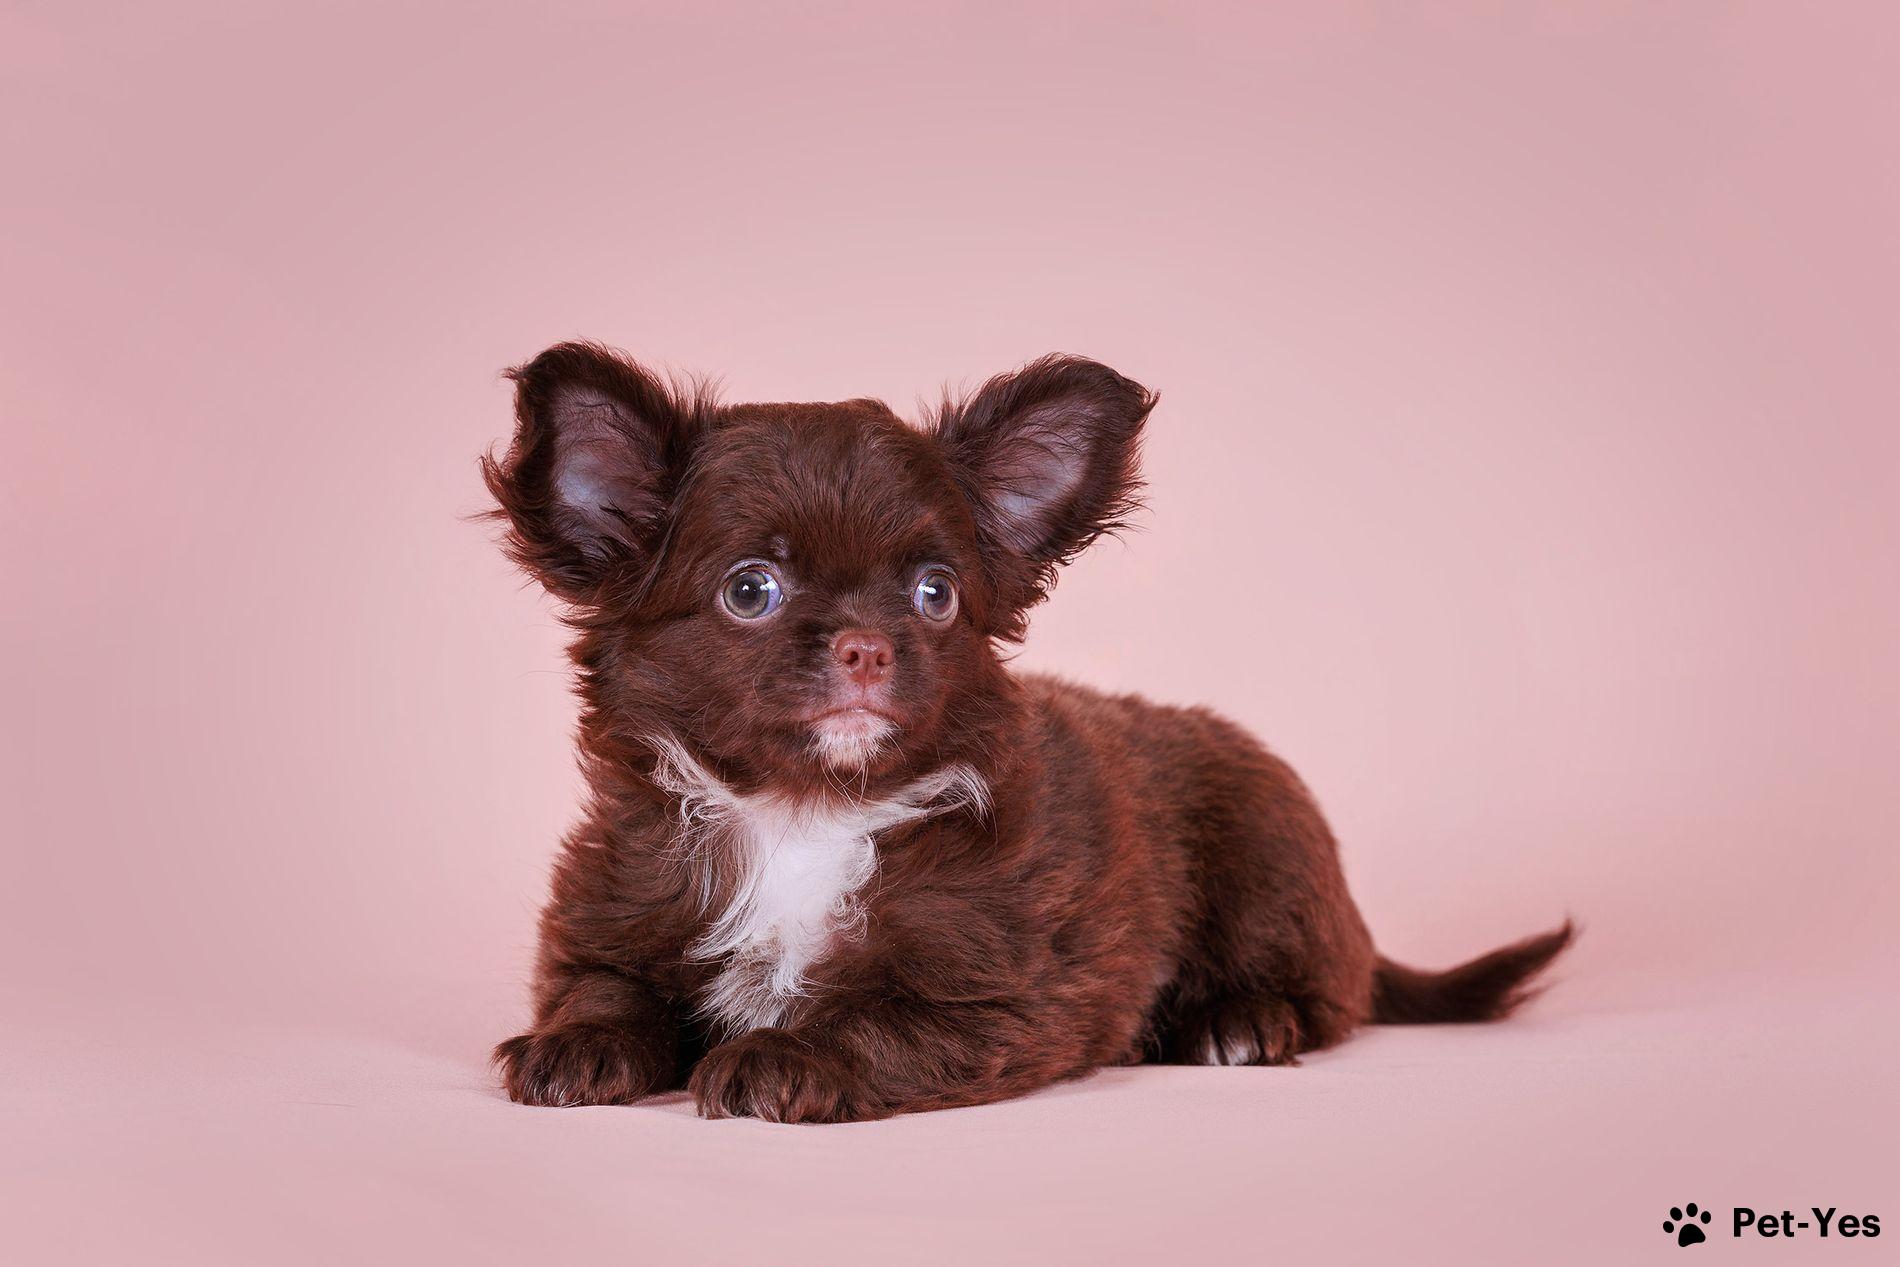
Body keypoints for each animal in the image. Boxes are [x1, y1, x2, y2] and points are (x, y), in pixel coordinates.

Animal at [484, 342, 1572, 1122]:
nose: (869, 646)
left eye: (935, 593)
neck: (803, 811)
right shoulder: (612, 915)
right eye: (750, 590)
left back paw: (1242, 1021)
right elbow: (606, 990)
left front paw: (785, 1053)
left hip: (1269, 852)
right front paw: (574, 1045)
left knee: (1326, 993)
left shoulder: (1000, 994)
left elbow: (873, 1018)